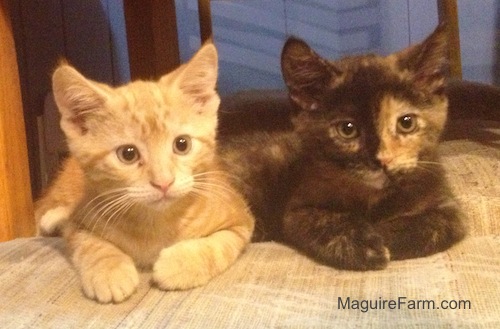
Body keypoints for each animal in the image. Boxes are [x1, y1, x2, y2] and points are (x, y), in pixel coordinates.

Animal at [35, 43, 254, 302]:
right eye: (128, 154)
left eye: (182, 144)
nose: (164, 182)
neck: (156, 223)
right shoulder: (79, 223)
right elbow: (90, 244)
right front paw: (110, 271)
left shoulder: (241, 221)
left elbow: (218, 246)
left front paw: (180, 264)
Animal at [221, 23, 466, 270]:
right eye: (347, 129)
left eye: (406, 123)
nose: (382, 160)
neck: (374, 197)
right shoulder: (297, 208)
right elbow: (323, 220)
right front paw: (362, 245)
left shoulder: (449, 206)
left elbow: (438, 224)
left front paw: (385, 235)